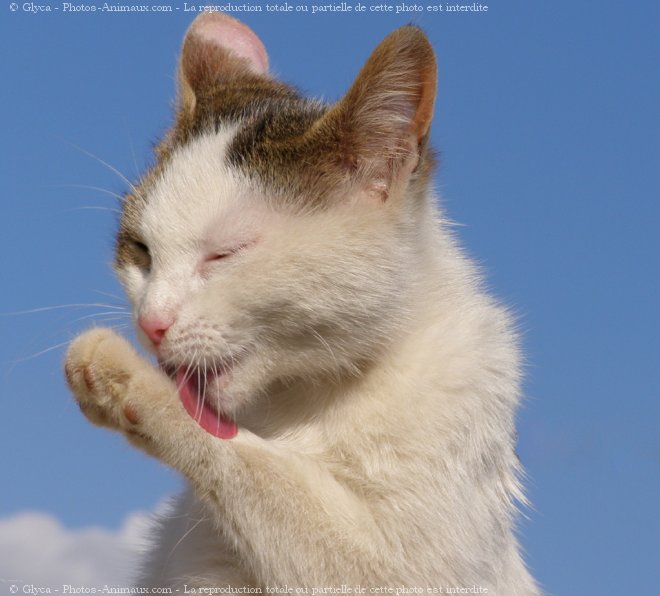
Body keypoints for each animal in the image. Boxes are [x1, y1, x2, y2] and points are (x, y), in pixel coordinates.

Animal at [64, 11, 540, 592]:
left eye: (225, 254)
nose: (150, 322)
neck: (299, 400)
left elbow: (256, 468)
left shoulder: (407, 567)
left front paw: (125, 378)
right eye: (140, 251)